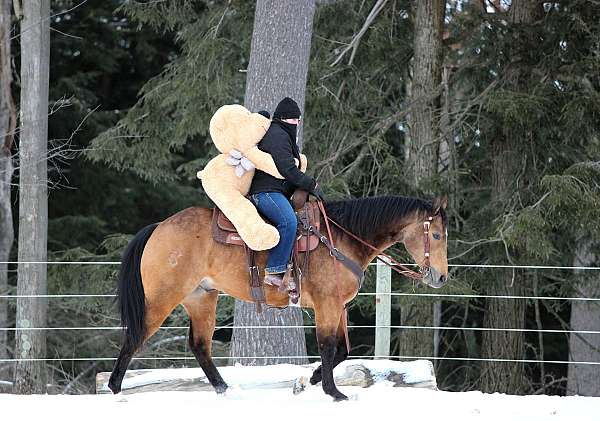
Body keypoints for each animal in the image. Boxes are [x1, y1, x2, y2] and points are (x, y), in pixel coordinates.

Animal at [108, 194, 448, 400]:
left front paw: (307, 382)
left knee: (200, 345)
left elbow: (341, 351)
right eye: (436, 235)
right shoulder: (327, 304)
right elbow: (328, 346)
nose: (441, 277)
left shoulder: (337, 306)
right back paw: (114, 389)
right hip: (162, 298)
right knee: (135, 337)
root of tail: (159, 227)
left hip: (201, 297)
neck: (339, 239)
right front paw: (333, 392)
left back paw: (224, 389)